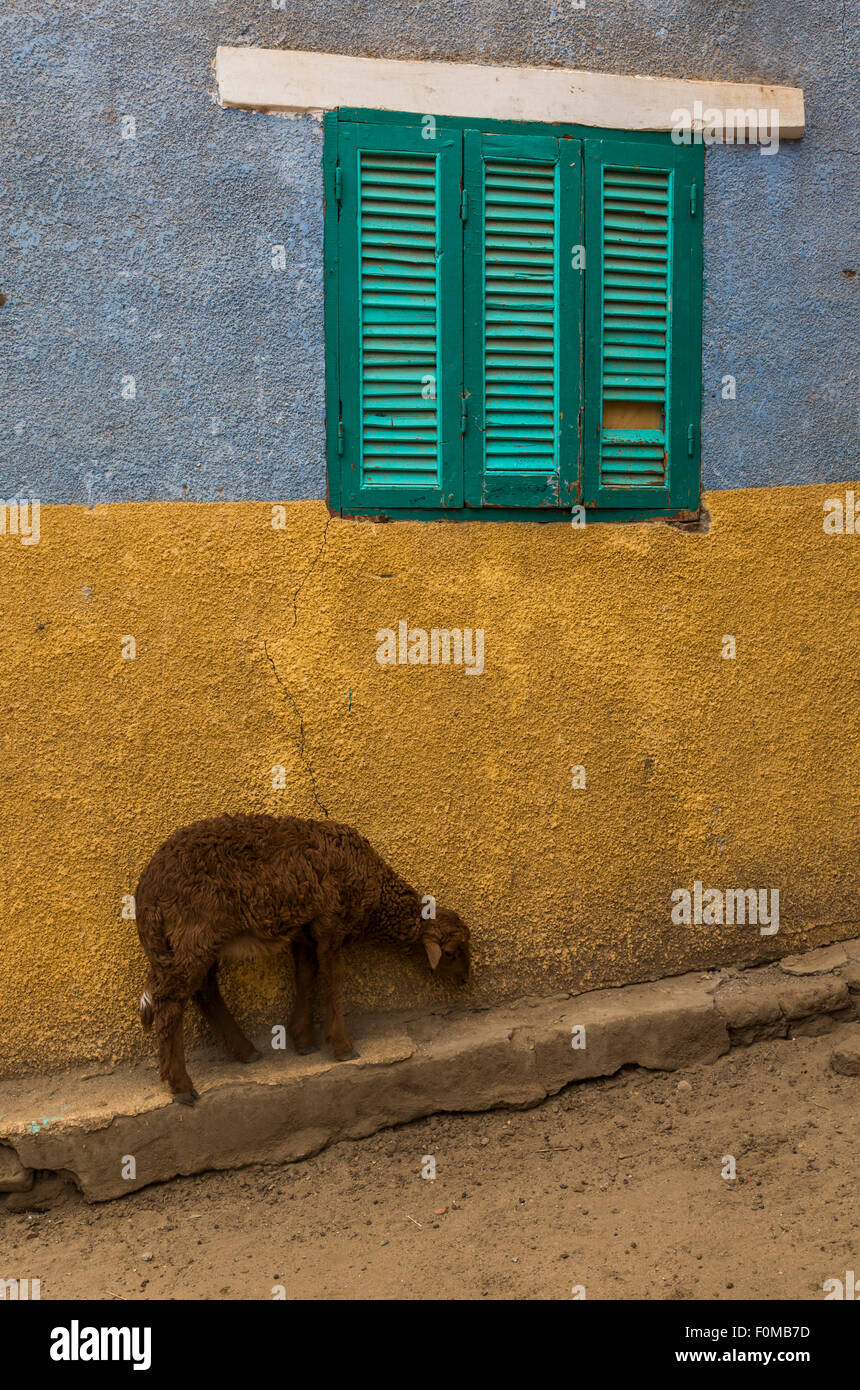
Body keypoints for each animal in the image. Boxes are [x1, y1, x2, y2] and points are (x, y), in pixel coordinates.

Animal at [136, 811, 472, 1100]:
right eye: (451, 952)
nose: (466, 980)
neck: (376, 894)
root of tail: (145, 894)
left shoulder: (304, 930)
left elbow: (306, 975)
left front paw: (303, 1040)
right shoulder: (331, 922)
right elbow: (332, 980)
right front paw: (342, 1047)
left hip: (196, 941)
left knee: (204, 991)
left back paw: (245, 1052)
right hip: (193, 934)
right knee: (170, 1003)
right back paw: (181, 1087)